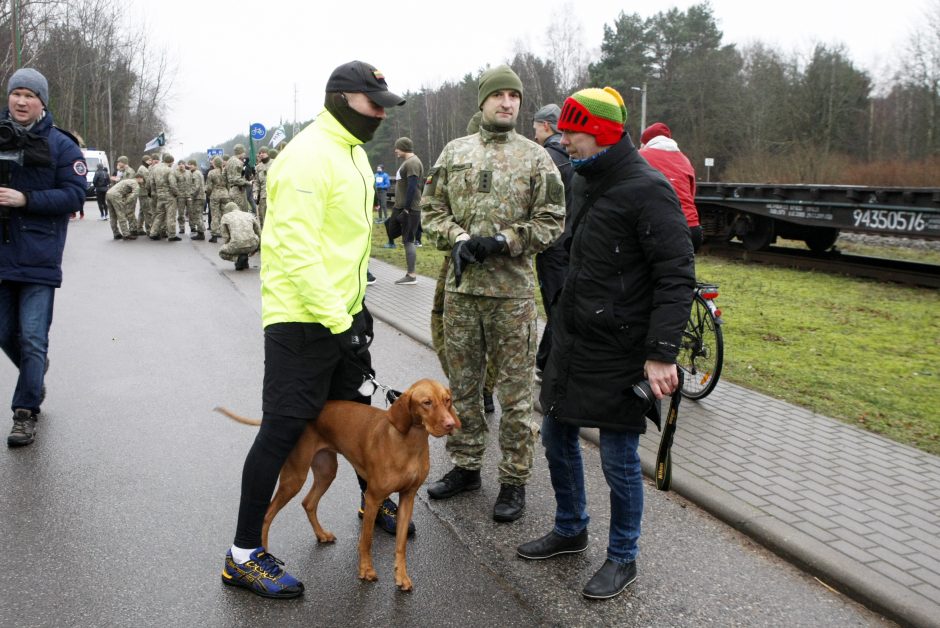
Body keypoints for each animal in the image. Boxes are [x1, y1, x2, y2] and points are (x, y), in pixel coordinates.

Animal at [217, 378, 458, 592]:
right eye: (426, 402)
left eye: (447, 400)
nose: (450, 424)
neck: (409, 442)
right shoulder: (373, 498)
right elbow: (366, 540)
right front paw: (366, 570)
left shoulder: (408, 497)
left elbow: (401, 545)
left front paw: (401, 577)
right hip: (294, 477)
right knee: (267, 513)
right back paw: (264, 551)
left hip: (326, 471)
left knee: (308, 502)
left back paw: (321, 534)